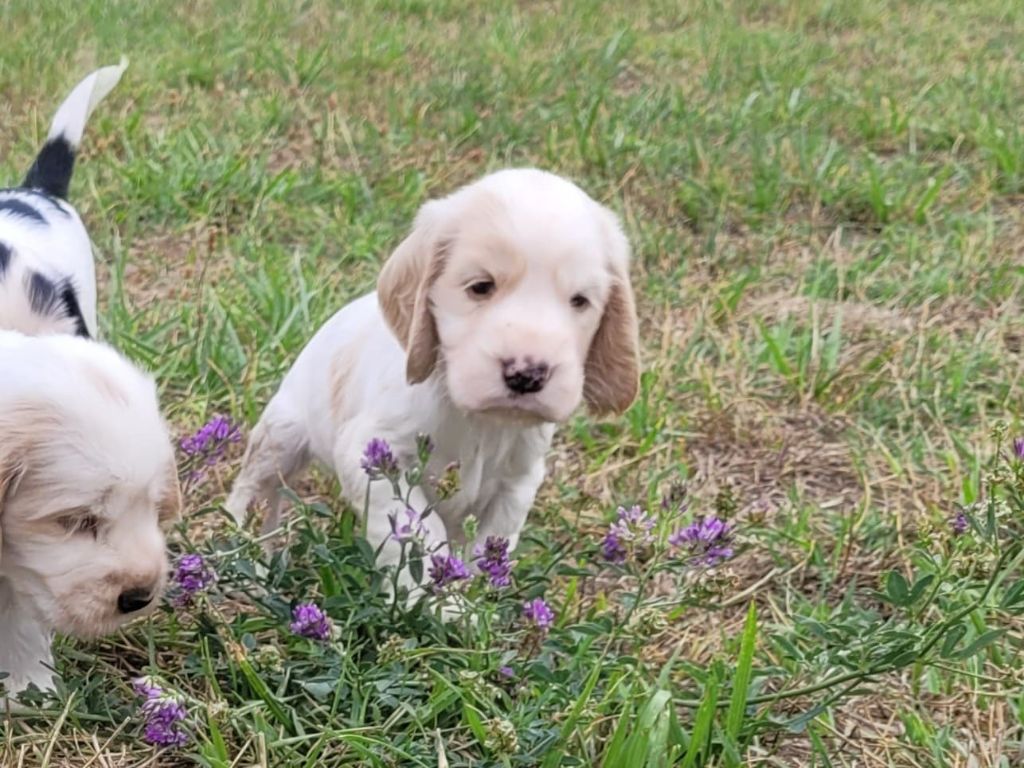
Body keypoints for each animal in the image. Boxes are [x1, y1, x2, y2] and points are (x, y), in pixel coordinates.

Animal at [230, 169, 638, 593]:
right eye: (481, 286)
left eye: (579, 301)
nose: (526, 374)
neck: (480, 422)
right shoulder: (373, 456)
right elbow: (419, 538)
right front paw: (440, 602)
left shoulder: (518, 482)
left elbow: (490, 544)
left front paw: (476, 596)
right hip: (281, 436)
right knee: (254, 492)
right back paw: (243, 560)